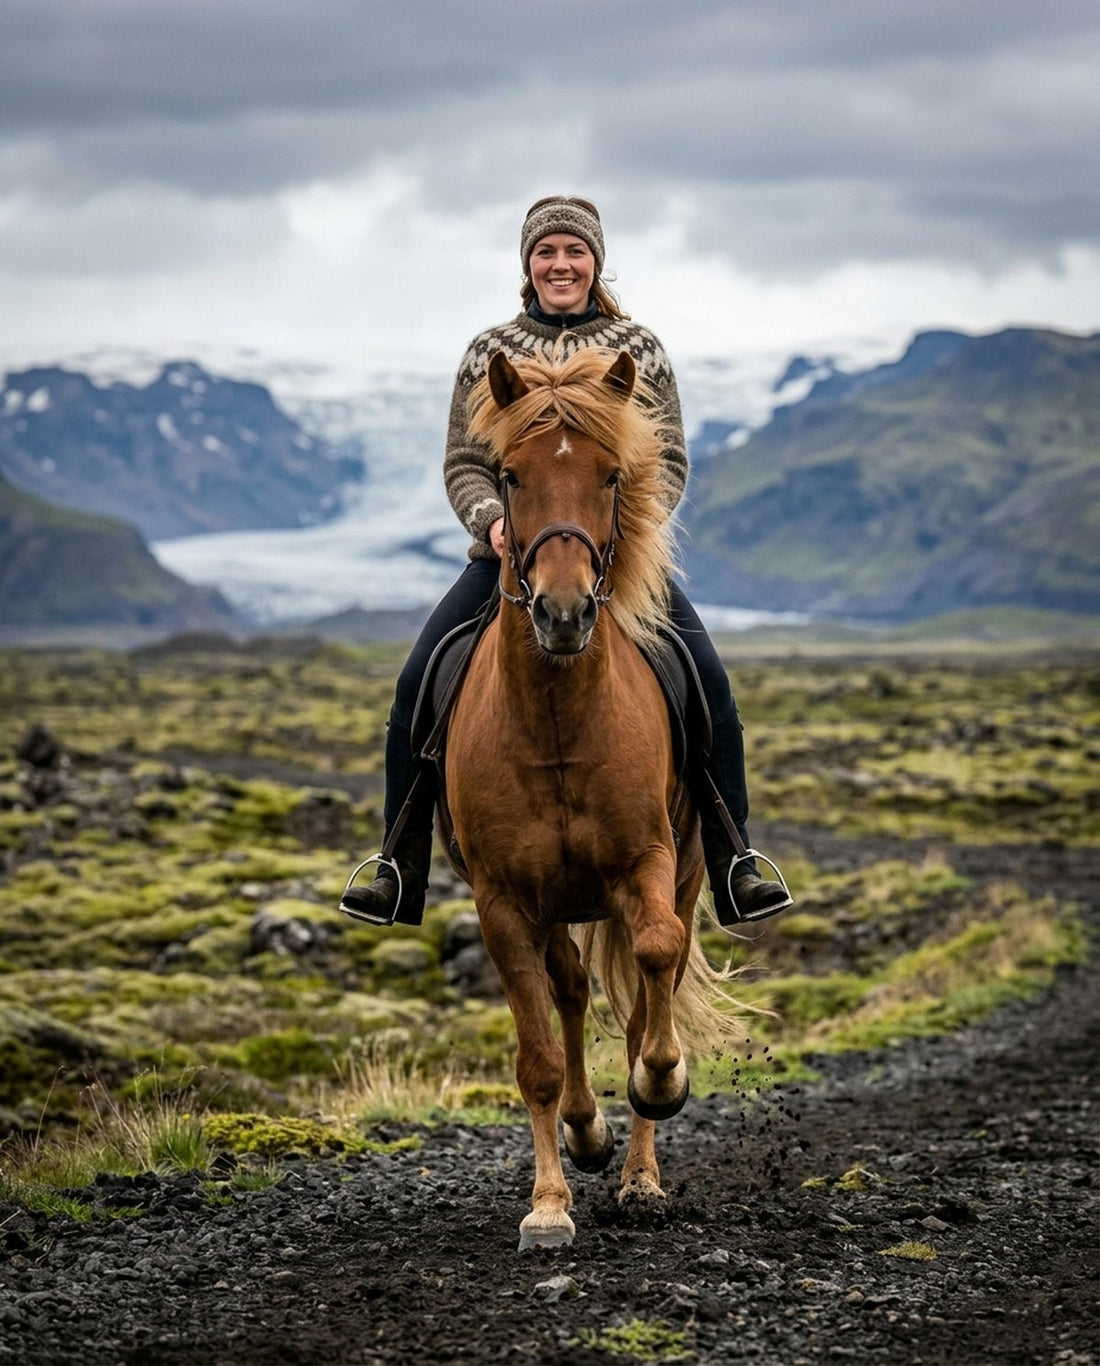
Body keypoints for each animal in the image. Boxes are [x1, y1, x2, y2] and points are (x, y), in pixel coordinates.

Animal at [441, 346, 742, 1251]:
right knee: (571, 992)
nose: (565, 612)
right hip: (553, 905)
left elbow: (653, 971)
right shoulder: (503, 903)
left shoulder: (647, 864)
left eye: (613, 475)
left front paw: (659, 1087)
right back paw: (584, 1133)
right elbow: (537, 1058)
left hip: (680, 869)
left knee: (649, 979)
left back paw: (640, 1172)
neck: (557, 723)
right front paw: (548, 1203)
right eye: (510, 475)